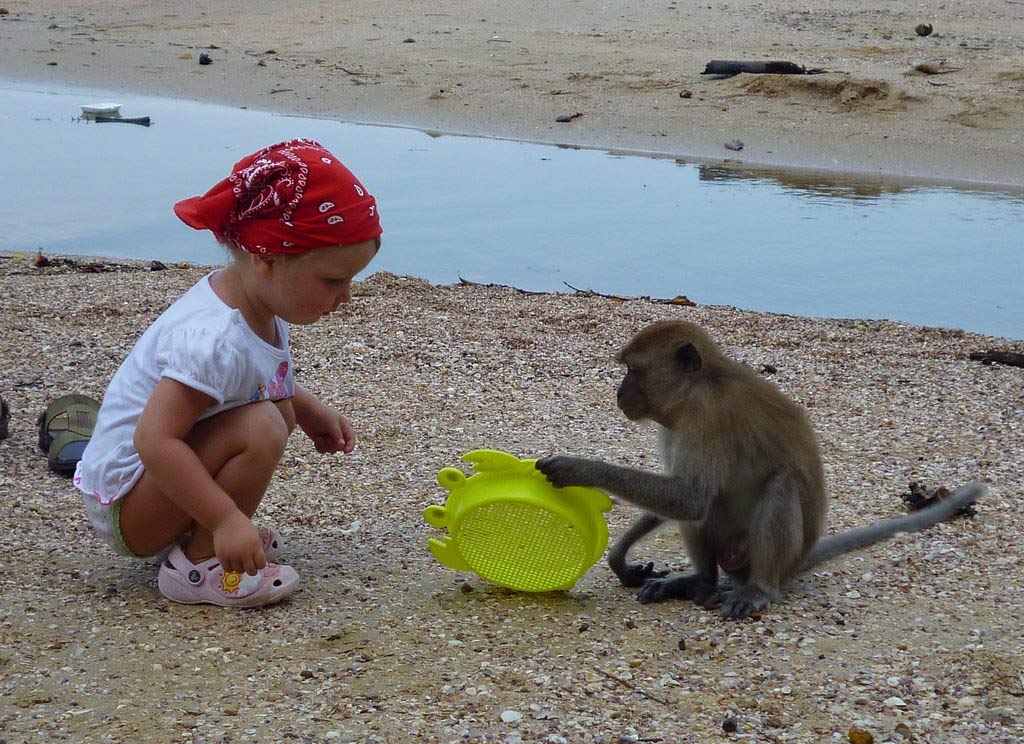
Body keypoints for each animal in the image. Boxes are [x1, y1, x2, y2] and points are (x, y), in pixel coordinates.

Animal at [532, 319, 978, 618]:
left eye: (632, 370)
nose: (619, 393)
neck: (700, 386)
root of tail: (796, 562)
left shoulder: (708, 419)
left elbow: (689, 498)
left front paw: (577, 469)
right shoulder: (675, 425)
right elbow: (684, 500)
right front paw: (621, 554)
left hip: (764, 555)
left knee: (778, 485)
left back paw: (757, 589)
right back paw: (702, 582)